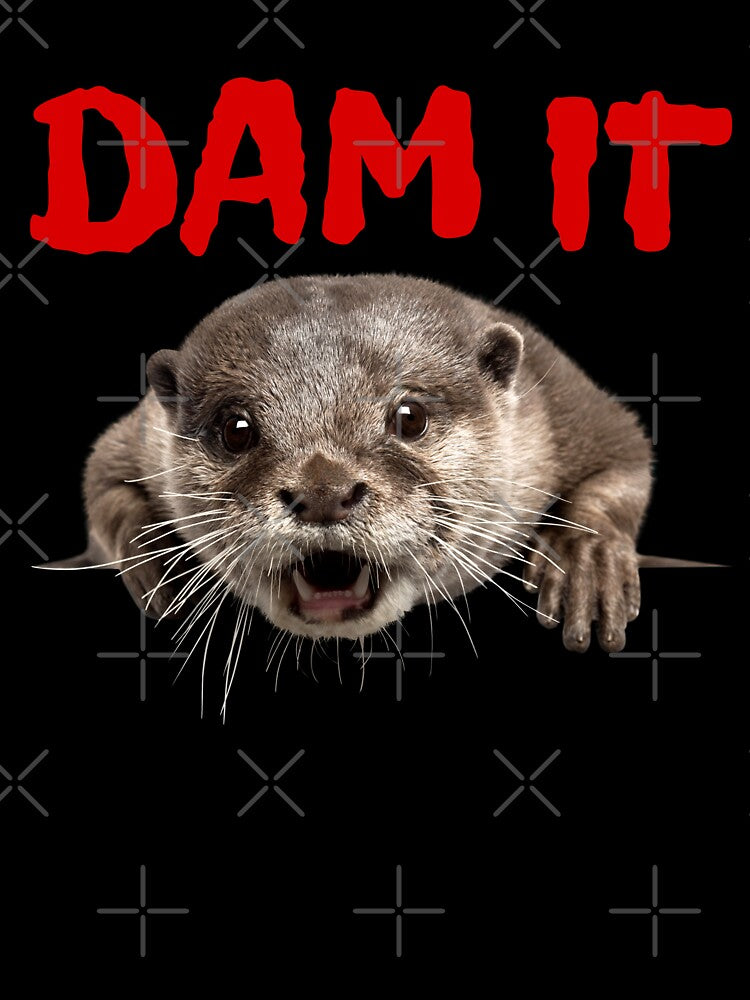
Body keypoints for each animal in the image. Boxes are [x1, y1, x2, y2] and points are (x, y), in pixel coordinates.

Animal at [52, 274, 659, 654]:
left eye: (410, 416)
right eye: (236, 429)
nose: (324, 491)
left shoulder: (559, 404)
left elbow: (624, 460)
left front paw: (586, 560)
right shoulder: (142, 433)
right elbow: (100, 476)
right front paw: (150, 553)